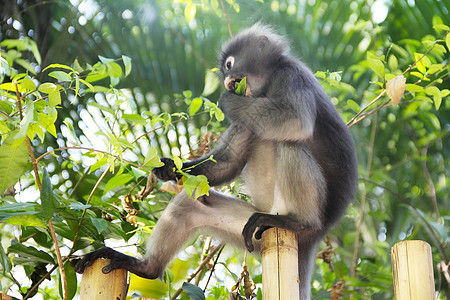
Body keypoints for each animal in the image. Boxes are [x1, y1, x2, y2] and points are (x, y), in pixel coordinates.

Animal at [74, 23, 358, 298]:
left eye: (229, 65)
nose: (227, 80)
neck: (265, 88)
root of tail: (318, 233)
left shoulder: (291, 76)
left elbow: (295, 122)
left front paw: (227, 100)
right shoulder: (250, 109)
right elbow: (229, 162)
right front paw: (169, 169)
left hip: (306, 215)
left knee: (289, 142)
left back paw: (298, 220)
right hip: (251, 230)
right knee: (187, 206)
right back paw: (144, 267)